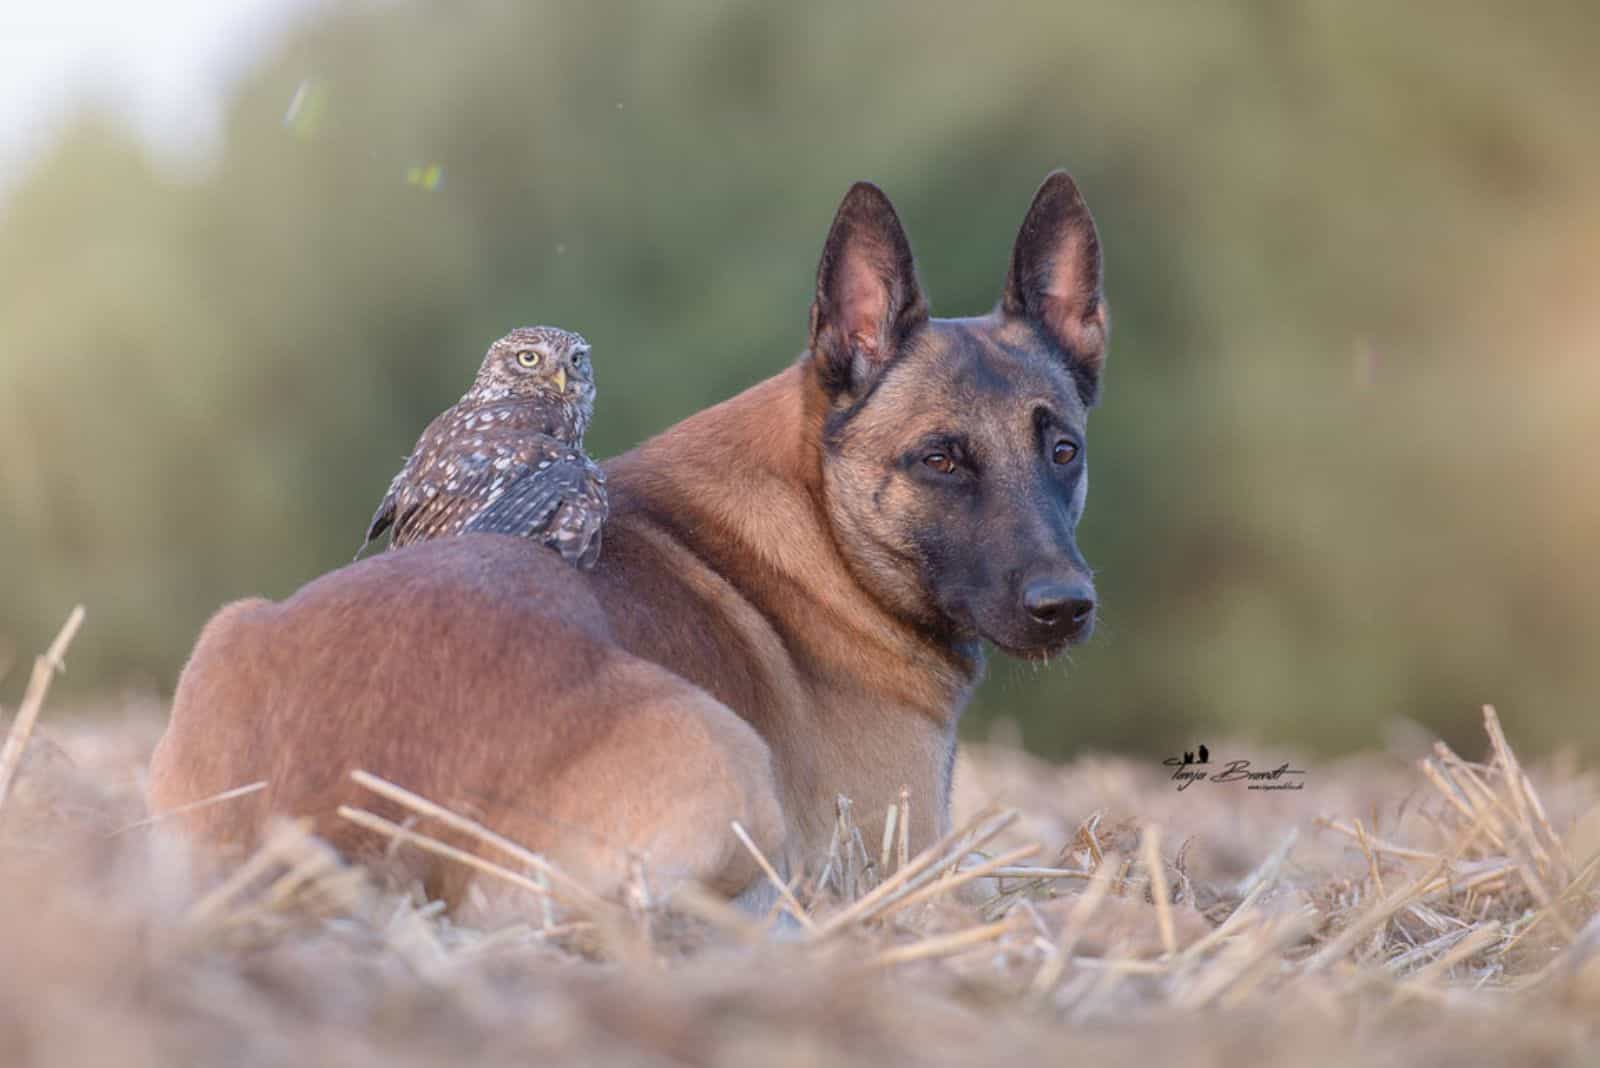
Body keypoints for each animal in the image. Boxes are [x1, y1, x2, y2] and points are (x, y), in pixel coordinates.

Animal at [144, 171, 1107, 914]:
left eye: (1063, 451)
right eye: (940, 459)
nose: (1066, 608)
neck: (820, 517)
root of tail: (331, 811)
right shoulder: (906, 860)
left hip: (228, 629)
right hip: (726, 756)